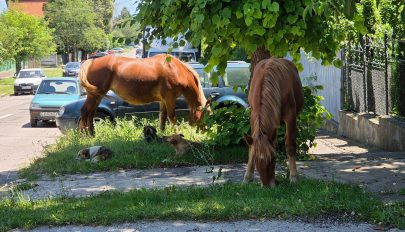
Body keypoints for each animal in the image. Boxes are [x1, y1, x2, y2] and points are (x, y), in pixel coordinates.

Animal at [77, 54, 207, 134]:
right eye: (204, 115)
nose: (204, 131)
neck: (174, 68)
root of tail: (92, 61)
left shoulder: (163, 101)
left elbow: (163, 117)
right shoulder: (169, 98)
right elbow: (172, 117)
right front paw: (178, 134)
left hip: (97, 96)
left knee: (91, 113)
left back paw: (92, 134)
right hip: (94, 95)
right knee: (84, 111)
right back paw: (84, 136)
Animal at [241, 57, 302, 187]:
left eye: (273, 158)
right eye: (256, 160)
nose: (266, 186)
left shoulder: (291, 116)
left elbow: (290, 145)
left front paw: (294, 177)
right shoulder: (254, 116)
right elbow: (252, 148)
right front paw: (248, 177)